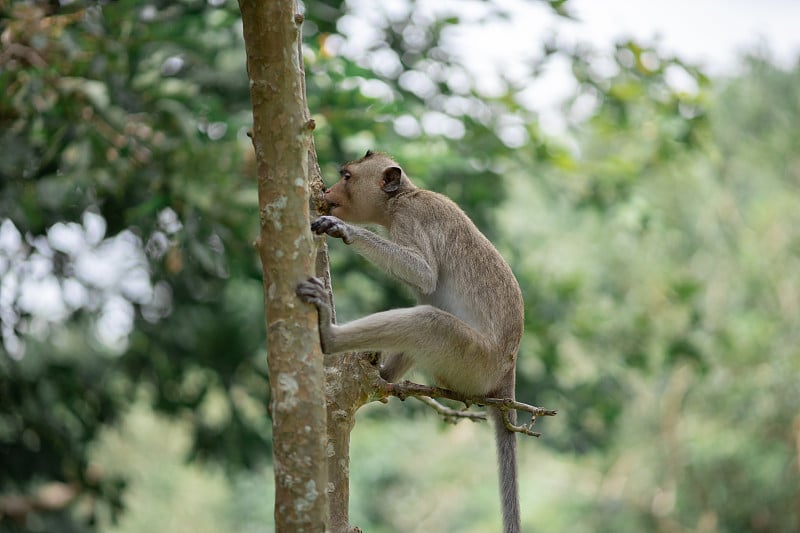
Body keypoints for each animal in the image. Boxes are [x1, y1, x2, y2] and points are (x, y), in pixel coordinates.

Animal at [296, 151, 528, 532]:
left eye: (347, 176)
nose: (328, 191)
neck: (401, 198)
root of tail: (508, 369)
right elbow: (424, 288)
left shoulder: (410, 217)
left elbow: (424, 273)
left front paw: (342, 229)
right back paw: (382, 376)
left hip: (474, 360)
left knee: (428, 322)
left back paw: (330, 336)